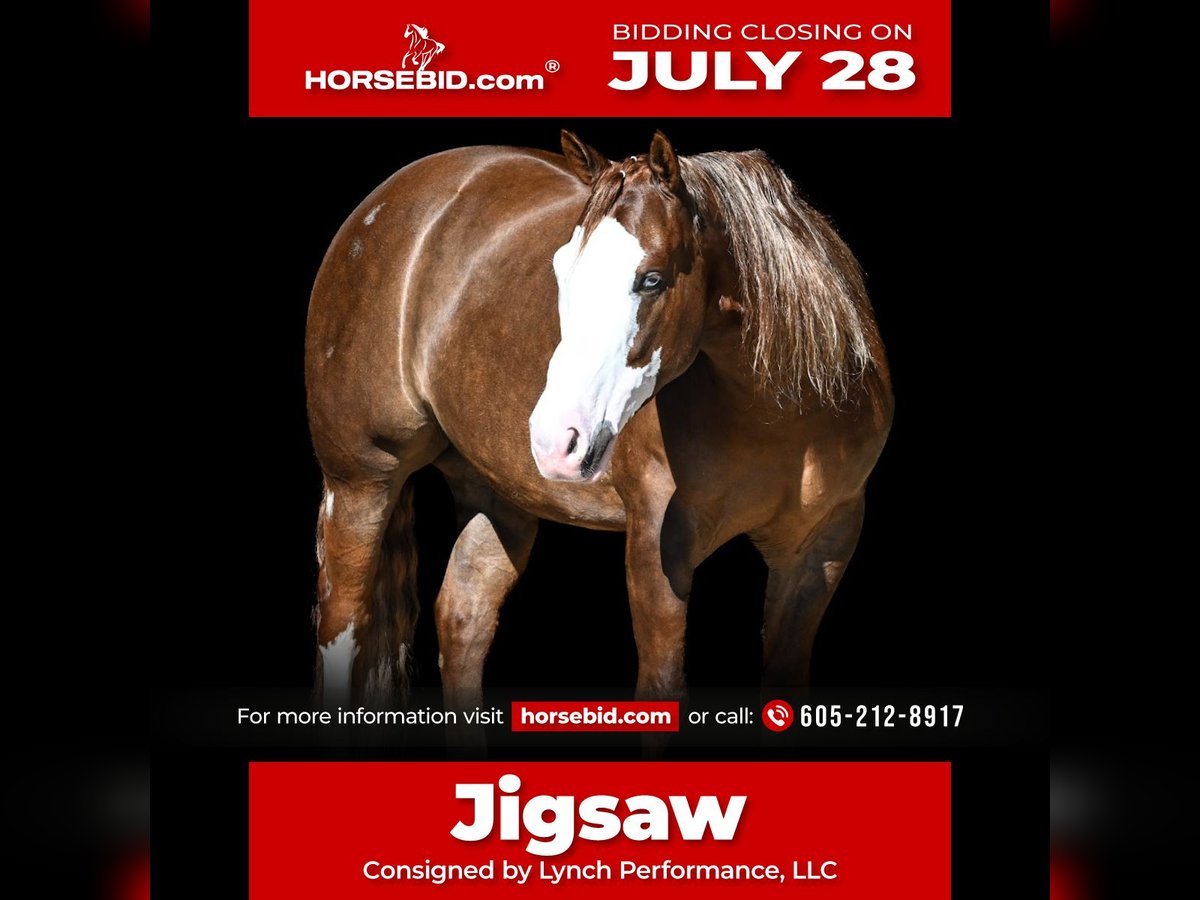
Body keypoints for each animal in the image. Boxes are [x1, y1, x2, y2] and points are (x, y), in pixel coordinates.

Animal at [305, 131, 893, 713]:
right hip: (360, 482)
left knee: (461, 621)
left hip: (496, 497)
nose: (553, 441)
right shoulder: (659, 544)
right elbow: (662, 685)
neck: (779, 419)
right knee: (343, 627)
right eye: (562, 272)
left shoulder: (820, 548)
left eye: (651, 279)